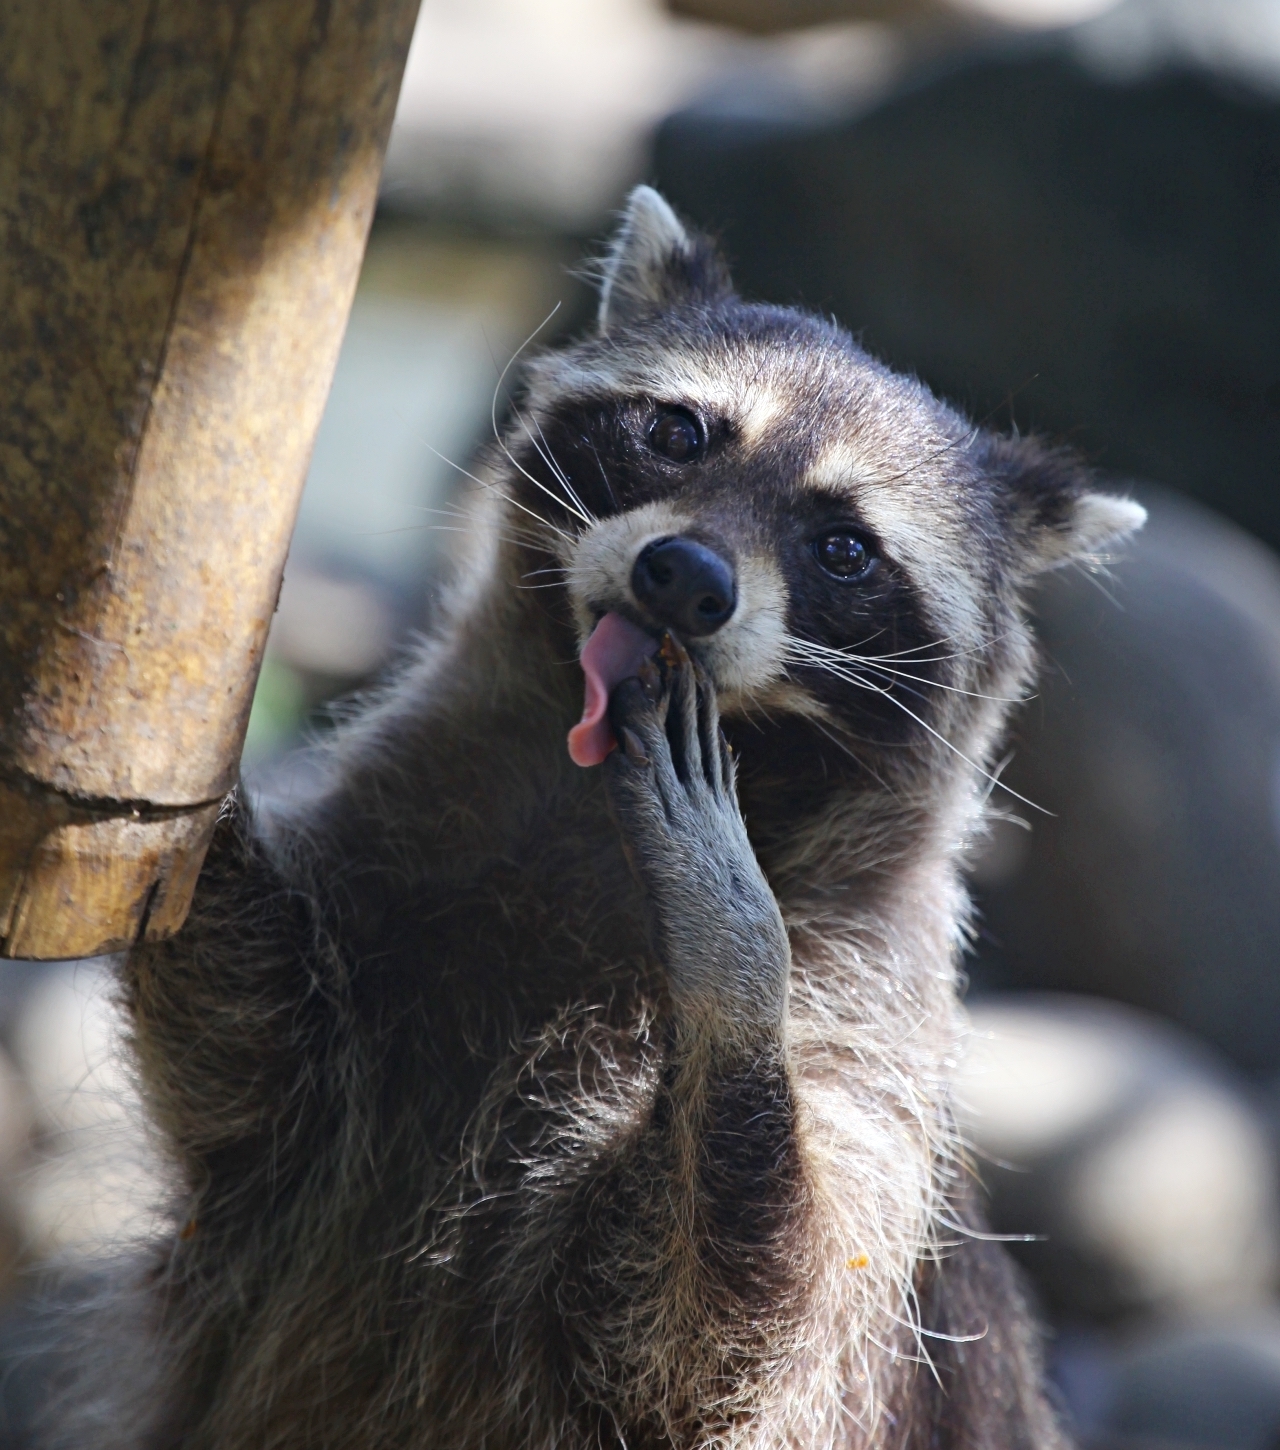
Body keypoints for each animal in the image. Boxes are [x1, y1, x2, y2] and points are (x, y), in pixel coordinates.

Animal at [75, 187, 1148, 1444]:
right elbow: (249, 1060)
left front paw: (730, 975)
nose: (684, 576)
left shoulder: (868, 1025)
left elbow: (717, 1327)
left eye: (843, 547)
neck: (591, 807)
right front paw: (182, 793)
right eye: (678, 433)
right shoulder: (390, 860)